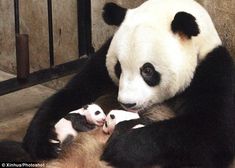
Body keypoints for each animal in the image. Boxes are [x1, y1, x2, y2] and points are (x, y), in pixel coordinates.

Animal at [22, 0, 235, 167]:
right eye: (119, 68)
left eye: (147, 70)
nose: (128, 103)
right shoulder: (102, 60)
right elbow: (75, 91)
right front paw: (43, 140)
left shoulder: (211, 70)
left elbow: (213, 131)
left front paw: (122, 148)